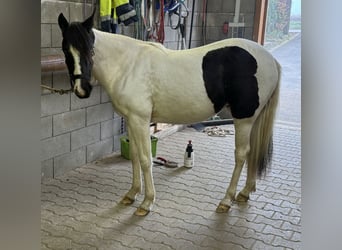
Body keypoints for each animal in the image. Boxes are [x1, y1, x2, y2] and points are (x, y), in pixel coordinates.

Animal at [56, 9, 280, 216]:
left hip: (244, 119)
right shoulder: (131, 120)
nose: (82, 90)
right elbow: (135, 157)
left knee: (242, 155)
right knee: (252, 152)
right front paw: (132, 194)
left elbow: (146, 160)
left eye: (90, 50)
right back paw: (244, 192)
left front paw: (147, 202)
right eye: (66, 50)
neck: (127, 65)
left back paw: (227, 200)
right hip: (254, 119)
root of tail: (270, 59)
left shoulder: (140, 120)